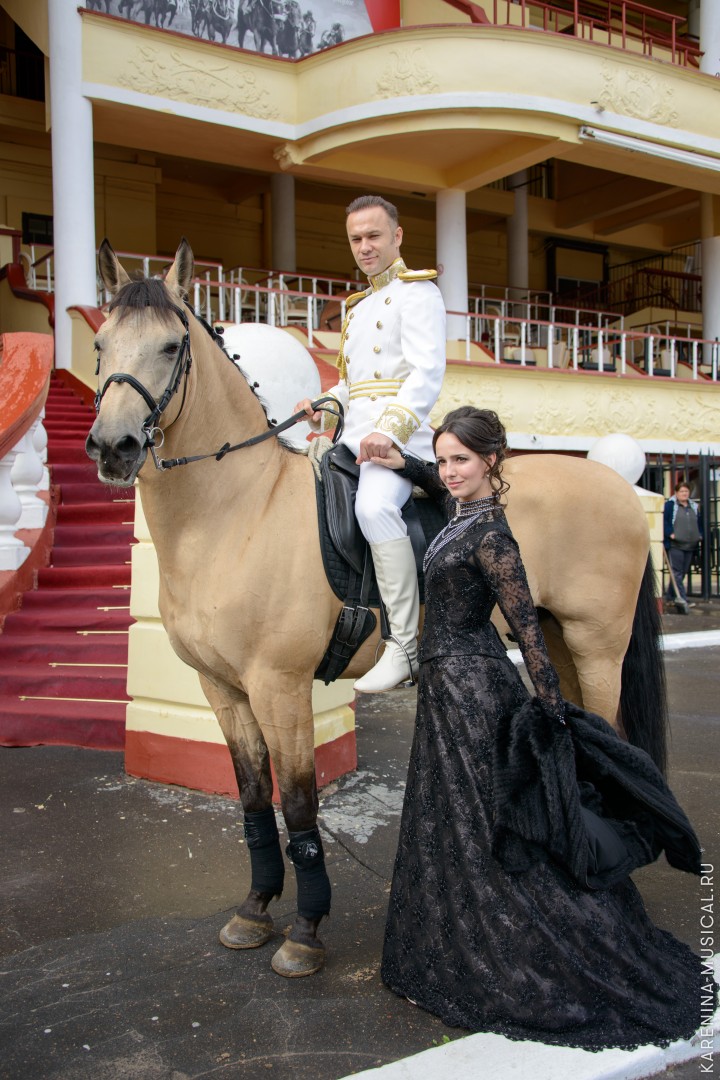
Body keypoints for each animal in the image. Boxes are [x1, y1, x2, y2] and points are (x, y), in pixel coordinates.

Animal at [87, 238, 669, 980]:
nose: (113, 447)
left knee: (608, 732)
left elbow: (299, 806)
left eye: (169, 345)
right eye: (99, 343)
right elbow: (253, 802)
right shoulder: (222, 688)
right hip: (555, 638)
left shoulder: (280, 688)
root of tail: (616, 485)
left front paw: (306, 930)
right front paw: (255, 910)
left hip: (598, 645)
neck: (236, 510)